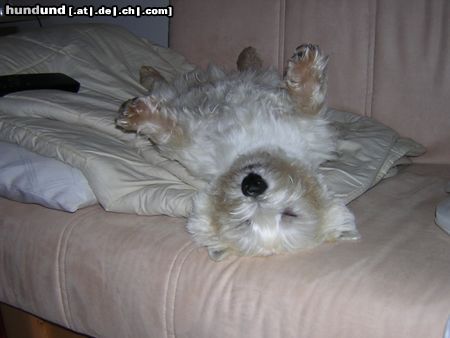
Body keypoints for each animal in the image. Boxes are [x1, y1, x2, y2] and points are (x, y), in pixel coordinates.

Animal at [116, 44, 358, 262]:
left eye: (290, 213)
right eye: (244, 223)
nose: (252, 185)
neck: (251, 146)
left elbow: (167, 129)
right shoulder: (194, 141)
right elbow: (306, 101)